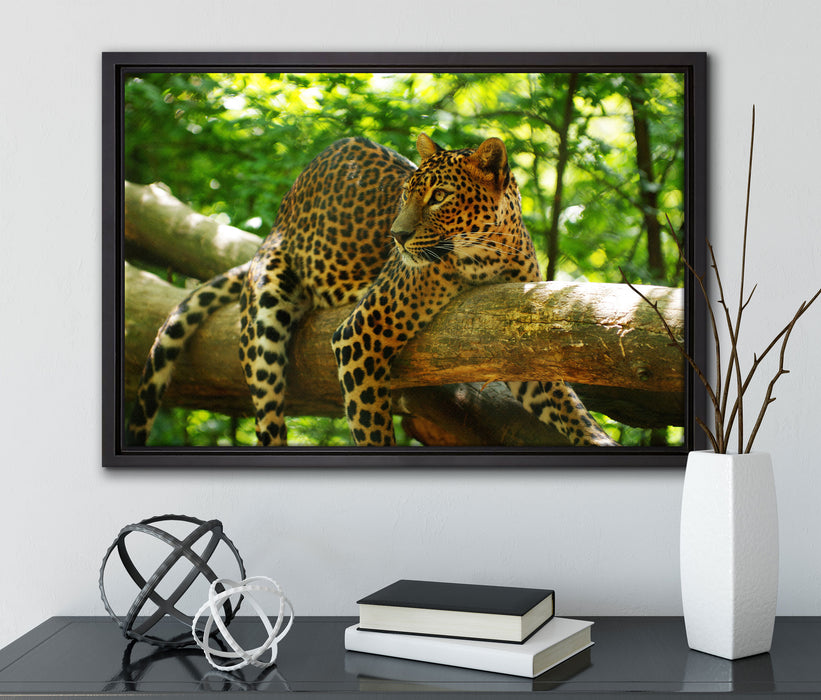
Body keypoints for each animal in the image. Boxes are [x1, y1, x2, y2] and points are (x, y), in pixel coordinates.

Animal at [127, 133, 617, 448]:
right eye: (406, 193)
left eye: (440, 196)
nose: (396, 236)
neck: (489, 254)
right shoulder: (359, 334)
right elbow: (371, 426)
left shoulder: (517, 339)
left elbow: (568, 405)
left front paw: (596, 438)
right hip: (265, 315)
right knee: (269, 415)